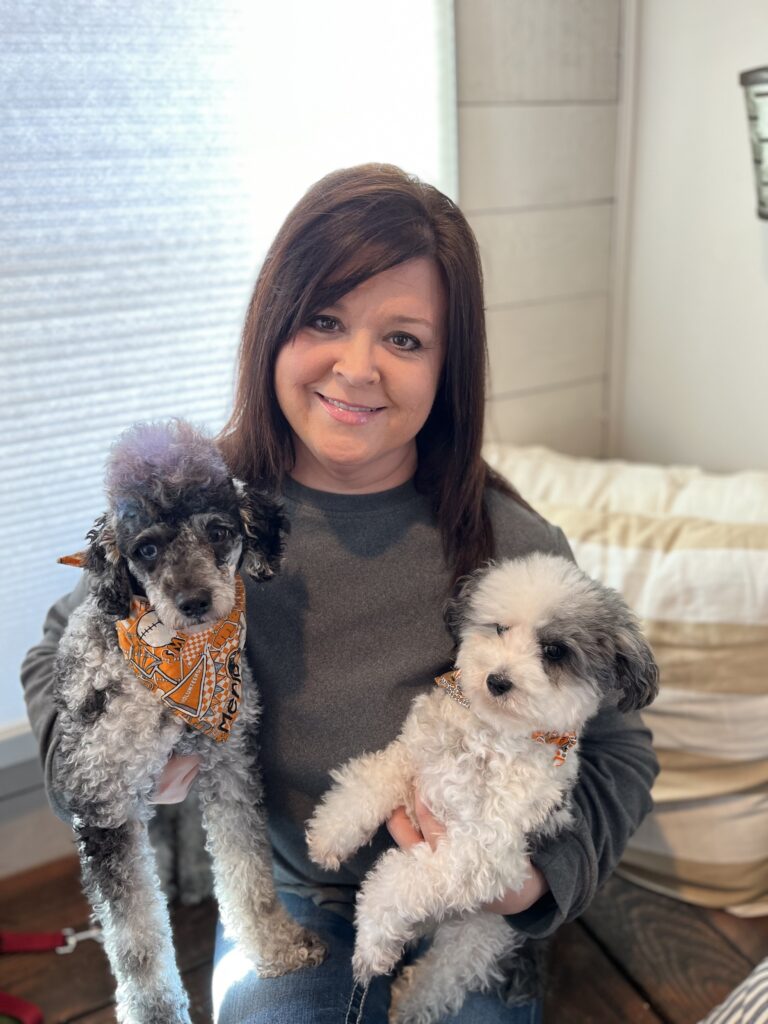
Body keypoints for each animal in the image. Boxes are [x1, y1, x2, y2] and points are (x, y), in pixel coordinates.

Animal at [307, 557, 655, 1019]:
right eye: (499, 628)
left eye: (554, 651)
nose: (497, 680)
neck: (490, 738)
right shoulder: (414, 758)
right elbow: (370, 780)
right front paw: (330, 834)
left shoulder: (482, 851)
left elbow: (396, 883)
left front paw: (372, 943)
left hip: (479, 932)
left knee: (443, 976)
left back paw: (406, 1003)